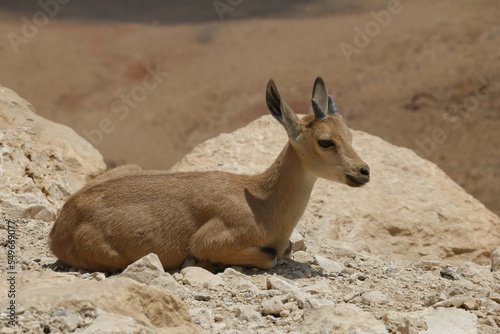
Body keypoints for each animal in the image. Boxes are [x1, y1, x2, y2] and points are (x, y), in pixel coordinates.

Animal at [48, 77, 370, 272]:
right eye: (325, 141)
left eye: (350, 134)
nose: (363, 172)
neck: (263, 204)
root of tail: (61, 225)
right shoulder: (215, 239)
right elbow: (270, 255)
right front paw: (199, 261)